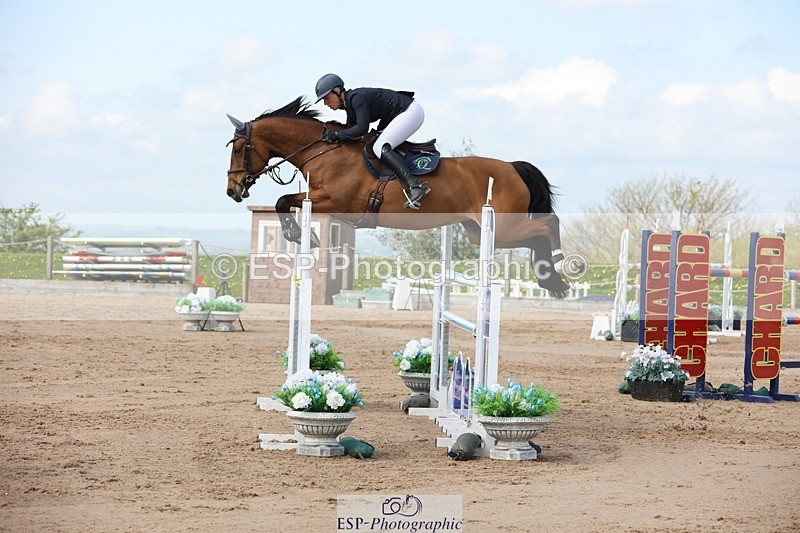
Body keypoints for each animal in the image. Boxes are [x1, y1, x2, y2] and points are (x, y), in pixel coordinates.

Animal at [225, 96, 572, 298]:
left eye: (239, 148)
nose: (233, 190)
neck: (324, 150)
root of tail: (513, 167)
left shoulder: (335, 202)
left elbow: (283, 200)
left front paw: (299, 234)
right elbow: (284, 201)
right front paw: (302, 234)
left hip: (504, 225)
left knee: (546, 226)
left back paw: (560, 265)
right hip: (482, 232)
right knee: (535, 236)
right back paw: (551, 282)